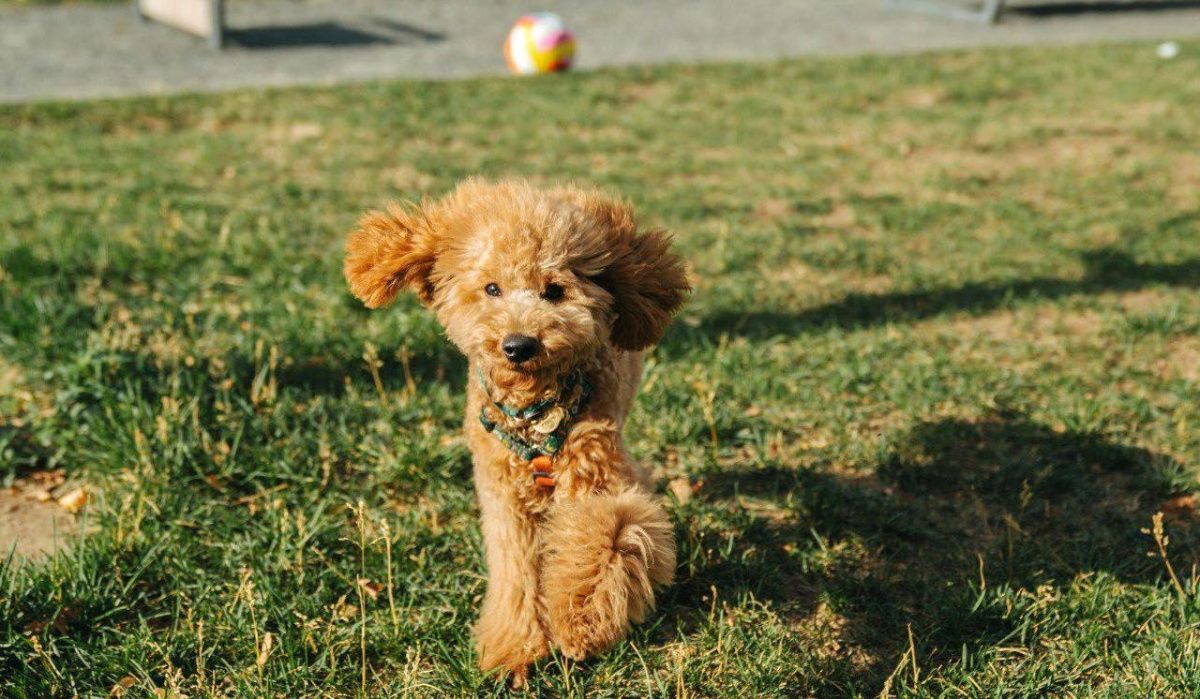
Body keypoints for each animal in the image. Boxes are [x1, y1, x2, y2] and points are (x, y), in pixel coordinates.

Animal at [343, 177, 691, 682]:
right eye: (492, 288)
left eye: (555, 290)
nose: (518, 345)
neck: (532, 413)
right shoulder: (503, 496)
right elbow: (515, 571)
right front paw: (516, 650)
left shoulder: (594, 470)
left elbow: (607, 535)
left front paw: (581, 623)